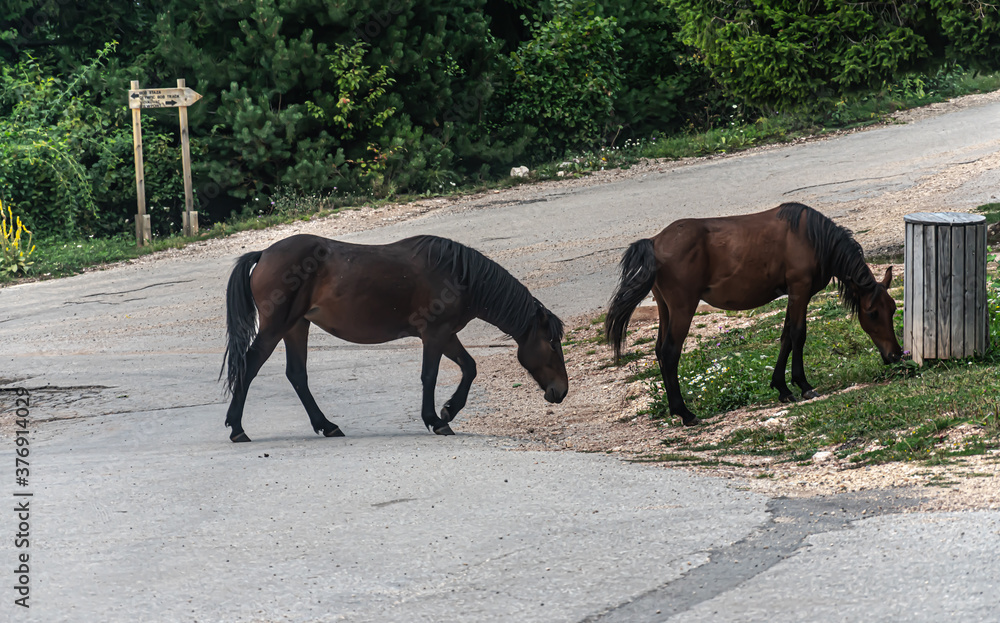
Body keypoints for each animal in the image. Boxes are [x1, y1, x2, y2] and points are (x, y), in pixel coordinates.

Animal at [221, 234, 568, 442]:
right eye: (552, 343)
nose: (561, 391)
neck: (459, 276)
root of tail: (264, 254)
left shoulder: (447, 335)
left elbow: (469, 368)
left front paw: (448, 410)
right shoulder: (435, 335)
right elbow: (430, 376)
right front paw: (436, 420)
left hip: (296, 327)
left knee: (297, 375)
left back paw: (327, 425)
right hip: (276, 327)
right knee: (250, 366)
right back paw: (237, 428)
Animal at [605, 202, 903, 426]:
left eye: (893, 309)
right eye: (872, 313)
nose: (896, 355)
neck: (811, 237)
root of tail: (654, 243)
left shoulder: (792, 295)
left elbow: (786, 337)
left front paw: (782, 388)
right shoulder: (800, 291)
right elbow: (798, 335)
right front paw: (803, 384)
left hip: (665, 308)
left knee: (659, 350)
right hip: (682, 308)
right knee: (669, 352)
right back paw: (685, 413)